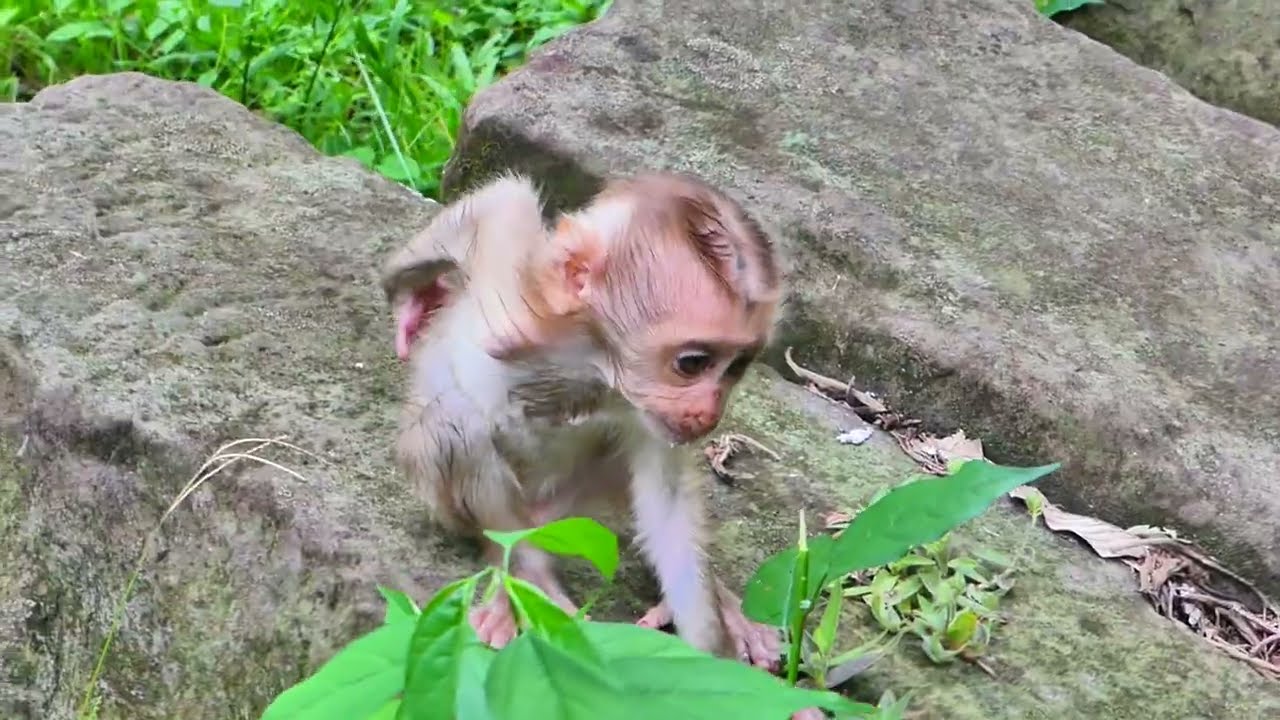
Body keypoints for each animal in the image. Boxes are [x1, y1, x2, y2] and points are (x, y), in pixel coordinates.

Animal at [381, 170, 784, 670]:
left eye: (736, 368)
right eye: (692, 363)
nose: (710, 412)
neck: (593, 363)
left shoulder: (647, 415)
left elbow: (666, 498)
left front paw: (710, 655)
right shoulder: (512, 306)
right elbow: (504, 202)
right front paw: (410, 297)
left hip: (571, 509)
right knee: (455, 426)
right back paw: (524, 576)